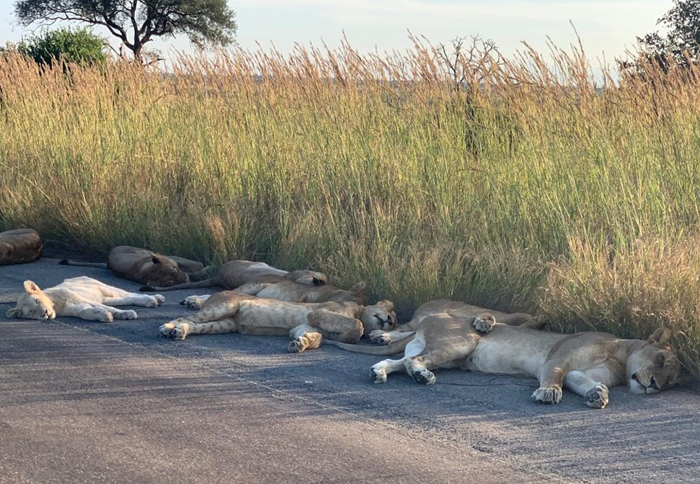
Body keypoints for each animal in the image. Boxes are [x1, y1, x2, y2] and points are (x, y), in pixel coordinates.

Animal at [4, 278, 165, 324]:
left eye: (37, 301)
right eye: (31, 312)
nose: (44, 313)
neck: (56, 304)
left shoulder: (80, 298)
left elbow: (110, 309)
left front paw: (127, 314)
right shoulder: (76, 309)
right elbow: (86, 312)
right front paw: (103, 316)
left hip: (105, 288)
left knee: (130, 294)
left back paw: (154, 299)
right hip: (107, 298)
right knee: (125, 299)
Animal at [59, 246, 208, 288]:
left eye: (173, 270)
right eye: (169, 282)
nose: (184, 280)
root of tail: (107, 263)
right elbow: (196, 267)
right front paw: (204, 271)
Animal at [161, 290, 396, 354]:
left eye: (394, 323)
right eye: (390, 311)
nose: (389, 320)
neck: (358, 310)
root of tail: (216, 293)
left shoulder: (302, 326)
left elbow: (316, 337)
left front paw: (300, 344)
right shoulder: (317, 313)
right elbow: (358, 326)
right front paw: (348, 335)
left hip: (224, 324)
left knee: (196, 325)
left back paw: (180, 332)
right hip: (223, 306)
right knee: (185, 317)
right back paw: (168, 328)